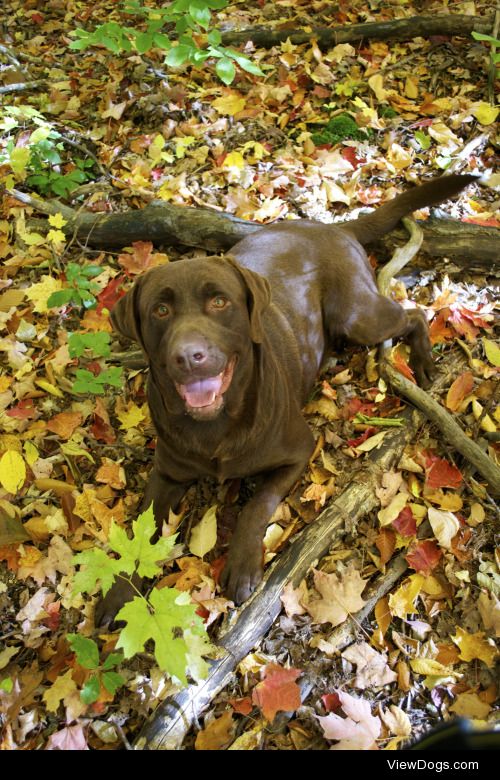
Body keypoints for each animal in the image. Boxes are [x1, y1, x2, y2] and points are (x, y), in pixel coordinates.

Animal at [94, 174, 476, 624]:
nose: (189, 355)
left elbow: (256, 504)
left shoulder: (298, 451)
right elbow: (140, 532)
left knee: (414, 312)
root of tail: (332, 227)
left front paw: (243, 567)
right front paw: (120, 592)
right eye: (160, 310)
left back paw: (423, 361)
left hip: (356, 314)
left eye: (219, 301)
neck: (217, 427)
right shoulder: (167, 474)